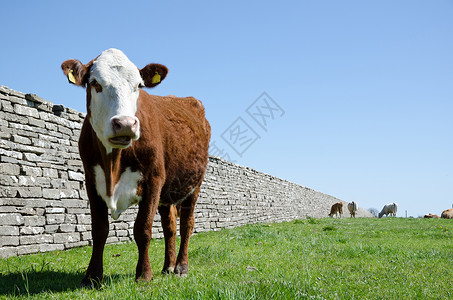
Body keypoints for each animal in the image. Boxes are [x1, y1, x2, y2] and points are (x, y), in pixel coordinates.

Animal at [61, 48, 211, 286]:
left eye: (138, 85)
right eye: (95, 83)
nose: (124, 124)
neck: (113, 163)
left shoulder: (153, 180)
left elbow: (143, 229)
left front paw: (144, 275)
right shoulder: (92, 182)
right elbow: (99, 230)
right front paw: (92, 276)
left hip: (194, 184)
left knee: (187, 223)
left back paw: (181, 267)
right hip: (167, 192)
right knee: (170, 225)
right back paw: (168, 267)